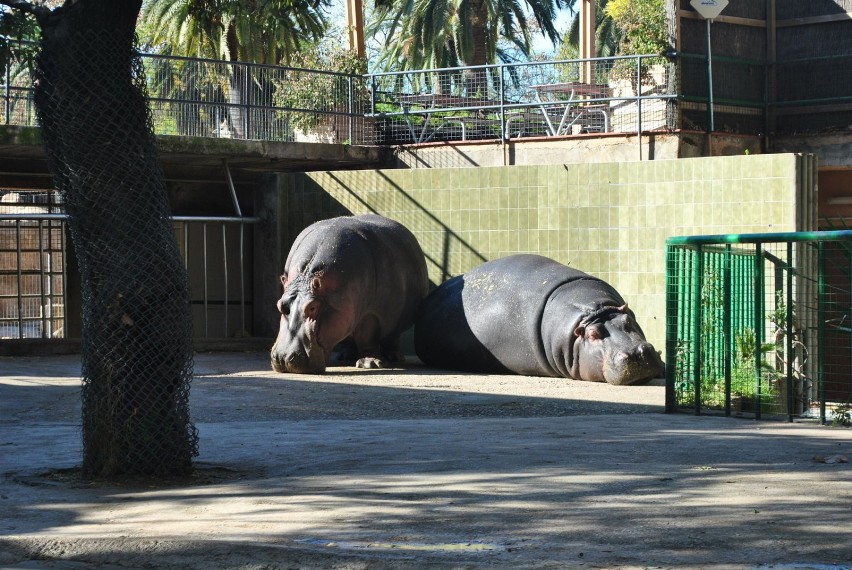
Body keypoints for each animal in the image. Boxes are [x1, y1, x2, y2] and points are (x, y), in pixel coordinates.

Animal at [272, 213, 430, 372]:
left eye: (312, 307)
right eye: (280, 305)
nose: (283, 358)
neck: (306, 276)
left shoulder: (371, 313)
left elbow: (367, 336)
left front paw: (370, 364)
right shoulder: (346, 310)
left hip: (394, 320)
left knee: (392, 337)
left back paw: (395, 357)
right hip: (348, 313)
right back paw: (346, 356)